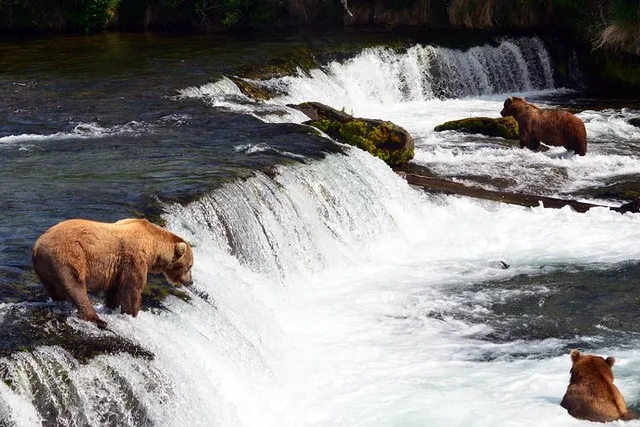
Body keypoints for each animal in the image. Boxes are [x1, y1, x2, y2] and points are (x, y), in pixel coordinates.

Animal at [32, 218, 194, 329]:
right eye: (190, 266)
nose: (190, 282)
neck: (153, 249)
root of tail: (37, 246)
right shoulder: (134, 259)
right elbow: (131, 288)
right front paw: (132, 313)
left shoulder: (117, 269)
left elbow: (115, 289)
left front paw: (112, 307)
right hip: (67, 257)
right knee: (75, 286)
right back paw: (98, 320)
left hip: (46, 270)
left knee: (56, 290)